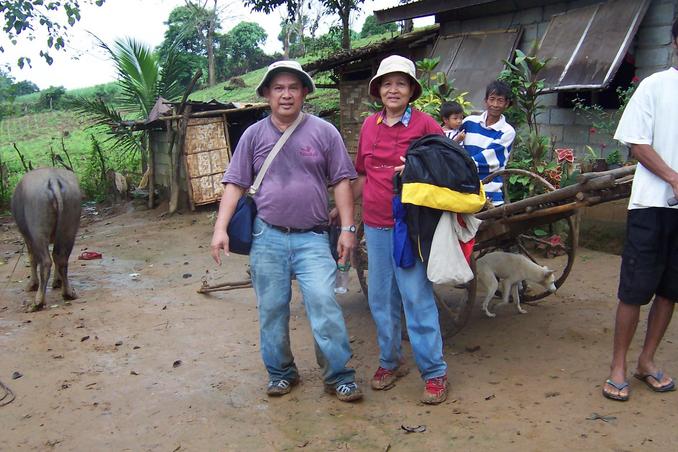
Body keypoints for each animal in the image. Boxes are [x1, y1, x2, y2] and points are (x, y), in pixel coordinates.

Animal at [11, 168, 81, 308]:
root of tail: (53, 179)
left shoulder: (27, 237)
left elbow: (32, 258)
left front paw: (32, 285)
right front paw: (57, 281)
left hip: (37, 231)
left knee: (45, 261)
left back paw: (37, 302)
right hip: (70, 227)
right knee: (61, 258)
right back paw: (68, 293)